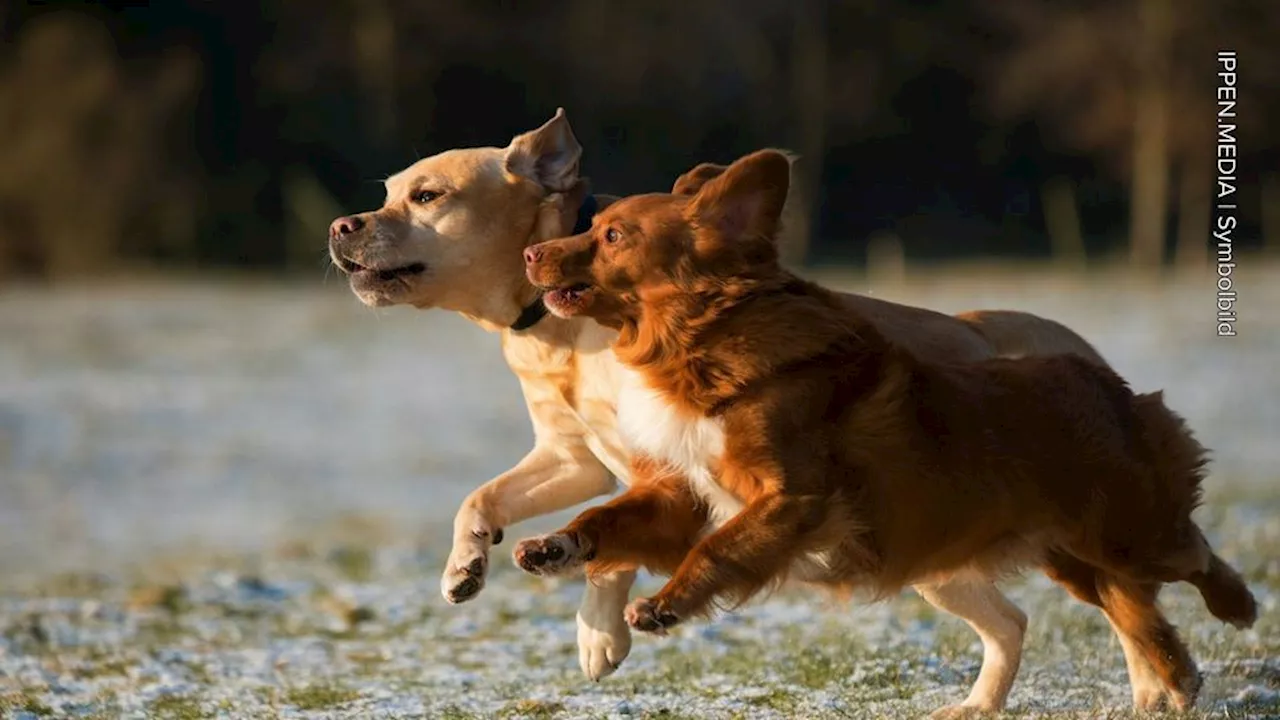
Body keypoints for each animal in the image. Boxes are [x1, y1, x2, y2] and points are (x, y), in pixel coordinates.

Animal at [330, 110, 1121, 691]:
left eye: (428, 196)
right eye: (388, 191)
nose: (343, 225)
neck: (554, 330)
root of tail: (992, 331)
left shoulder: (654, 462)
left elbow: (613, 553)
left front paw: (598, 635)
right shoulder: (571, 455)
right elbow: (483, 498)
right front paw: (464, 566)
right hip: (923, 555)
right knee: (1010, 622)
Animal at [512, 149, 1259, 712]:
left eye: (612, 236)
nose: (530, 253)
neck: (699, 343)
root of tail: (1104, 380)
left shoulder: (791, 497)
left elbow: (719, 550)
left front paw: (664, 605)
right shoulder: (686, 494)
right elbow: (610, 517)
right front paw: (553, 546)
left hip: (1123, 534)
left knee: (1191, 554)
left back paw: (1238, 608)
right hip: (1070, 556)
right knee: (1121, 613)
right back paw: (1165, 681)